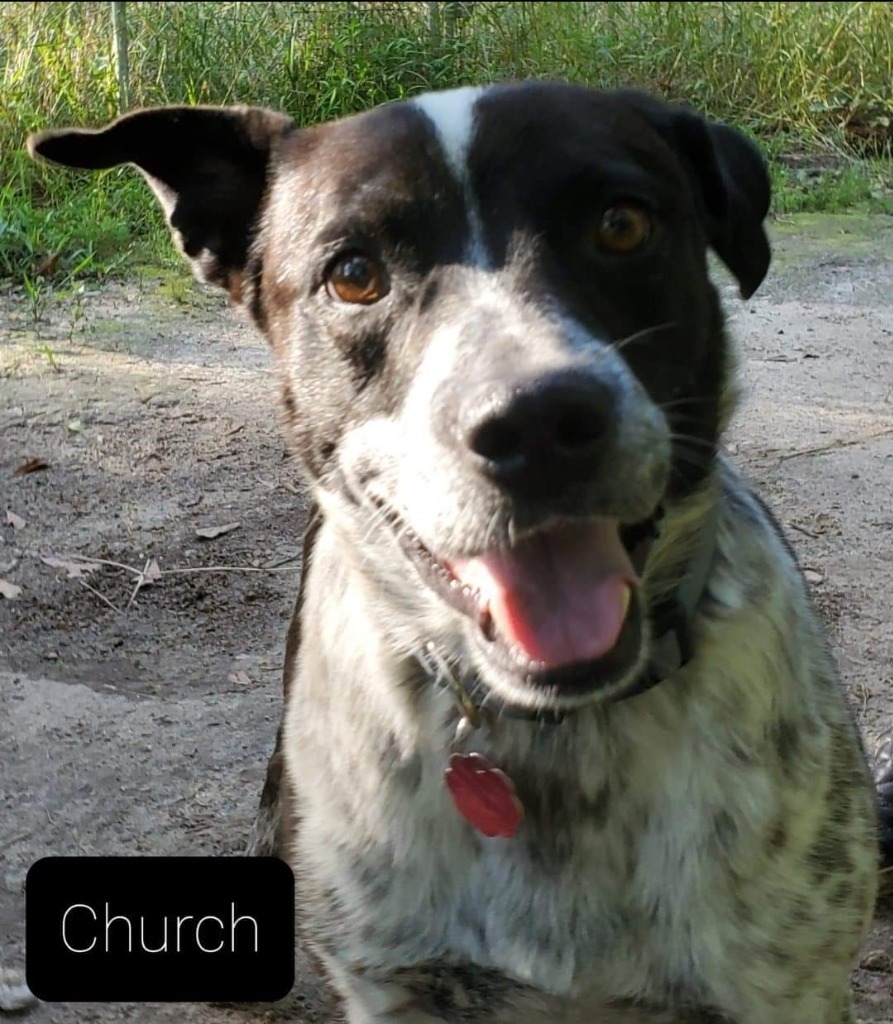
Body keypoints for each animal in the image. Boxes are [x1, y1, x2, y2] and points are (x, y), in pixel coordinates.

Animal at [29, 81, 884, 1024]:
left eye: (620, 225)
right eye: (352, 274)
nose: (536, 423)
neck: (547, 736)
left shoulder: (784, 987)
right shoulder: (391, 982)